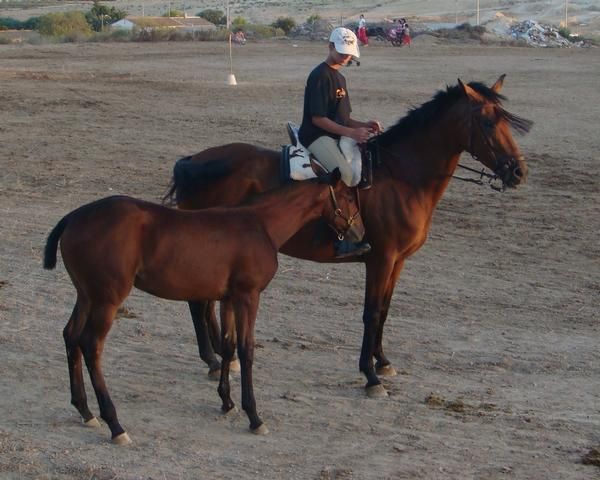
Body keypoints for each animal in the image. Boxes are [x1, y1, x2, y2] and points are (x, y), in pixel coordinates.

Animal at [44, 171, 360, 444]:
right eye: (348, 196)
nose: (360, 233)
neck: (261, 225)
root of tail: (72, 218)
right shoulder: (248, 296)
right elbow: (246, 349)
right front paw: (254, 416)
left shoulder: (228, 298)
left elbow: (229, 345)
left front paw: (227, 402)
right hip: (107, 299)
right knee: (91, 345)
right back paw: (115, 424)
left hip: (87, 295)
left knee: (71, 336)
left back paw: (85, 411)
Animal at [166, 75, 532, 398]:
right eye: (487, 122)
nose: (518, 171)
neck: (401, 178)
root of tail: (193, 160)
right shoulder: (381, 258)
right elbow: (371, 312)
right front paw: (370, 377)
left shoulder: (398, 261)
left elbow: (384, 309)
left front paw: (382, 362)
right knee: (198, 303)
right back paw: (213, 361)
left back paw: (217, 357)